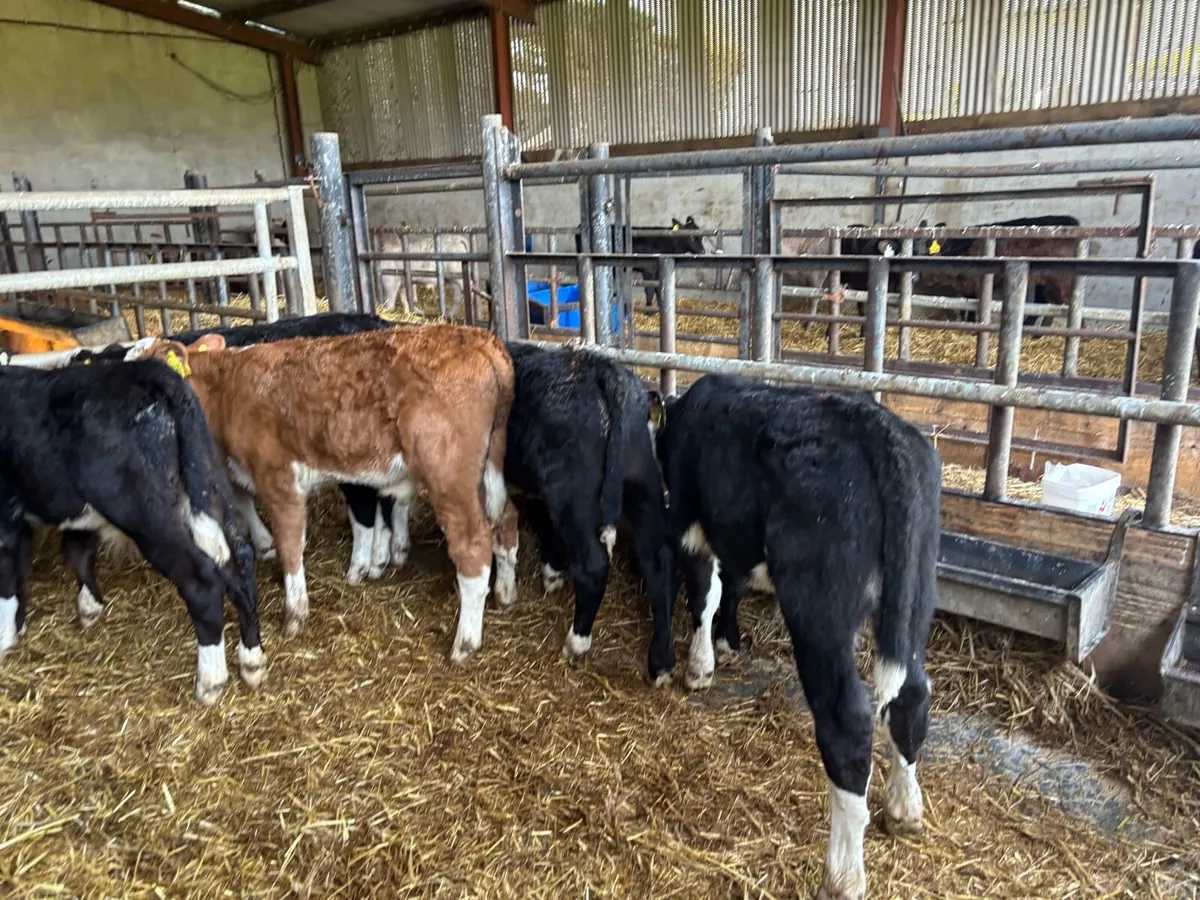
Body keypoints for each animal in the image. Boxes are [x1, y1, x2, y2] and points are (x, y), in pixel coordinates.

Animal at [0, 357, 264, 705]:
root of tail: (145, 370)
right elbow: (60, 555)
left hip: (143, 512)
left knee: (202, 580)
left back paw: (210, 681)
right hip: (207, 484)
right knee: (239, 560)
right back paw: (252, 659)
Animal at [125, 325, 517, 662]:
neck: (228, 389)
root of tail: (476, 338)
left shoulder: (278, 478)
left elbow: (290, 545)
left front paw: (295, 615)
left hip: (449, 477)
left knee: (472, 544)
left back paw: (465, 642)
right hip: (487, 469)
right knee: (505, 520)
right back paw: (505, 593)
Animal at [652, 375, 940, 900]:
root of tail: (874, 426)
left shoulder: (690, 525)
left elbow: (705, 591)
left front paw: (700, 666)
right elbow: (732, 585)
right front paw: (726, 645)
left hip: (819, 609)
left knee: (847, 721)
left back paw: (843, 874)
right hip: (917, 592)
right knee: (911, 695)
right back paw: (904, 807)